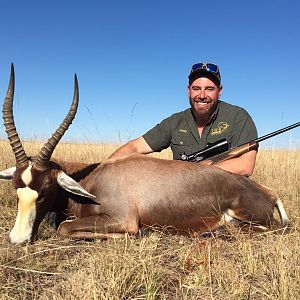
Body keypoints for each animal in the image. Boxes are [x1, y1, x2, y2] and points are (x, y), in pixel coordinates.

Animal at [0, 65, 290, 244]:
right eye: (16, 188)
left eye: (45, 190)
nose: (17, 240)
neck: (93, 179)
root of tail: (269, 193)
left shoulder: (122, 220)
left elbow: (64, 227)